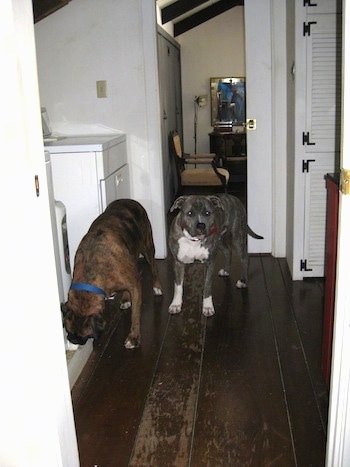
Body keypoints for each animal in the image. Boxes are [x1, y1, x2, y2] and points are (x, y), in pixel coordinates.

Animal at [61, 199, 163, 350]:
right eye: (69, 330)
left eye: (85, 336)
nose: (72, 339)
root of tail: (130, 200)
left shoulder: (136, 286)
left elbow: (135, 315)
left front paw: (133, 337)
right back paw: (125, 299)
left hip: (148, 247)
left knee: (154, 267)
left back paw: (157, 286)